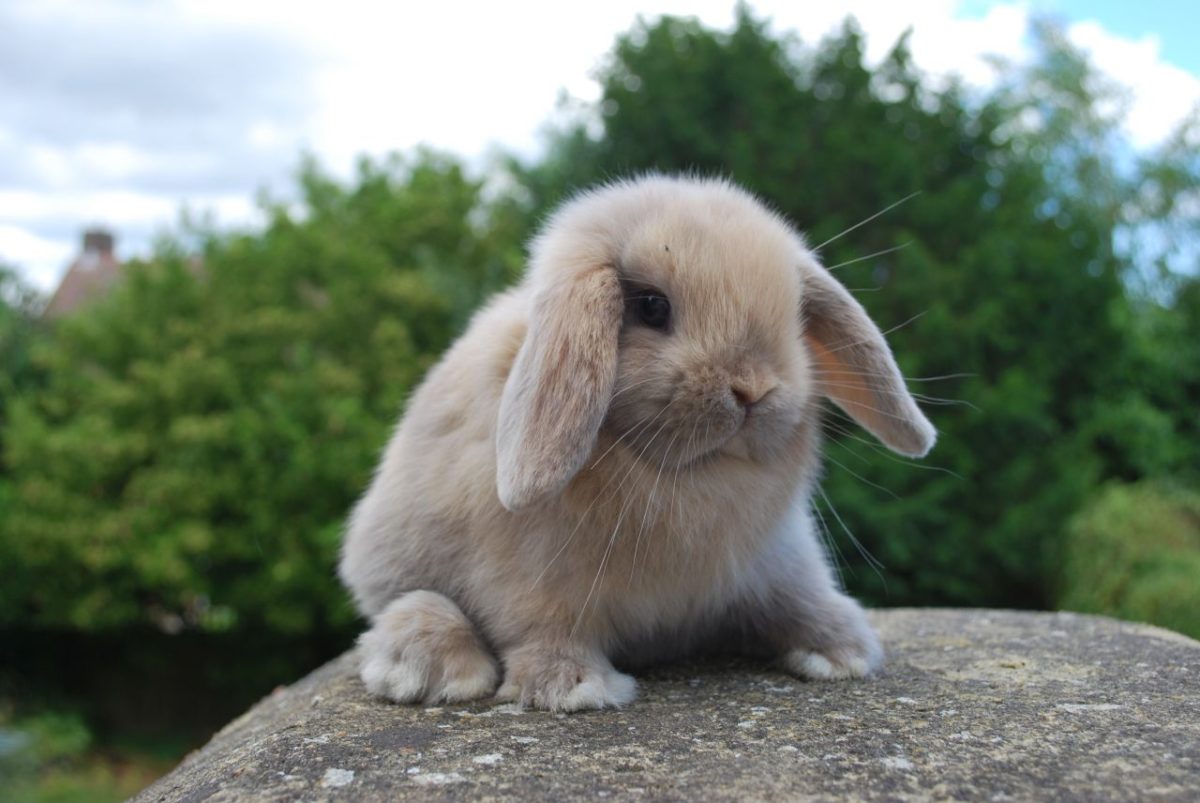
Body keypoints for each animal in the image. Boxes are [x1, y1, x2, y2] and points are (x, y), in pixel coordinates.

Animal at [338, 174, 936, 705]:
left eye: (794, 315)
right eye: (651, 306)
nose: (753, 389)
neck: (688, 477)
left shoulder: (779, 556)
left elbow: (799, 599)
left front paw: (842, 652)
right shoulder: (527, 578)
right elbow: (540, 624)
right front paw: (576, 688)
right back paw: (434, 669)